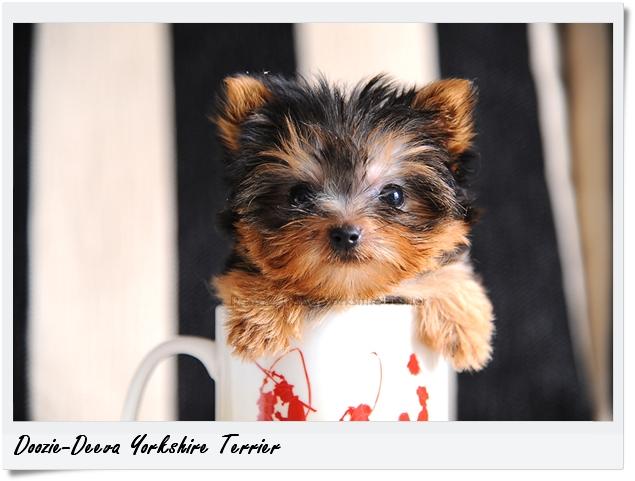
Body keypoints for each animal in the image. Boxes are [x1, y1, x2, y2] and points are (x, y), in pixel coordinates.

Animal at [212, 73, 494, 371]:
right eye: (298, 196)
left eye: (394, 195)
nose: (345, 234)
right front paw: (261, 320)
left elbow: (440, 271)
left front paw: (464, 327)